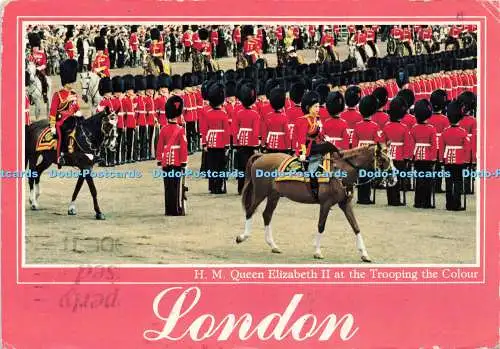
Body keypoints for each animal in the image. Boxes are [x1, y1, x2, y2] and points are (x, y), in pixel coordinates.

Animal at [236, 143, 396, 260]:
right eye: (383, 160)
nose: (394, 179)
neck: (340, 170)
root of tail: (261, 156)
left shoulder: (345, 204)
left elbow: (355, 227)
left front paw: (364, 254)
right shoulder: (325, 204)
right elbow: (321, 226)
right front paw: (317, 251)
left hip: (274, 195)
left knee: (267, 215)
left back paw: (273, 245)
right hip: (260, 193)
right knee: (250, 211)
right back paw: (242, 237)